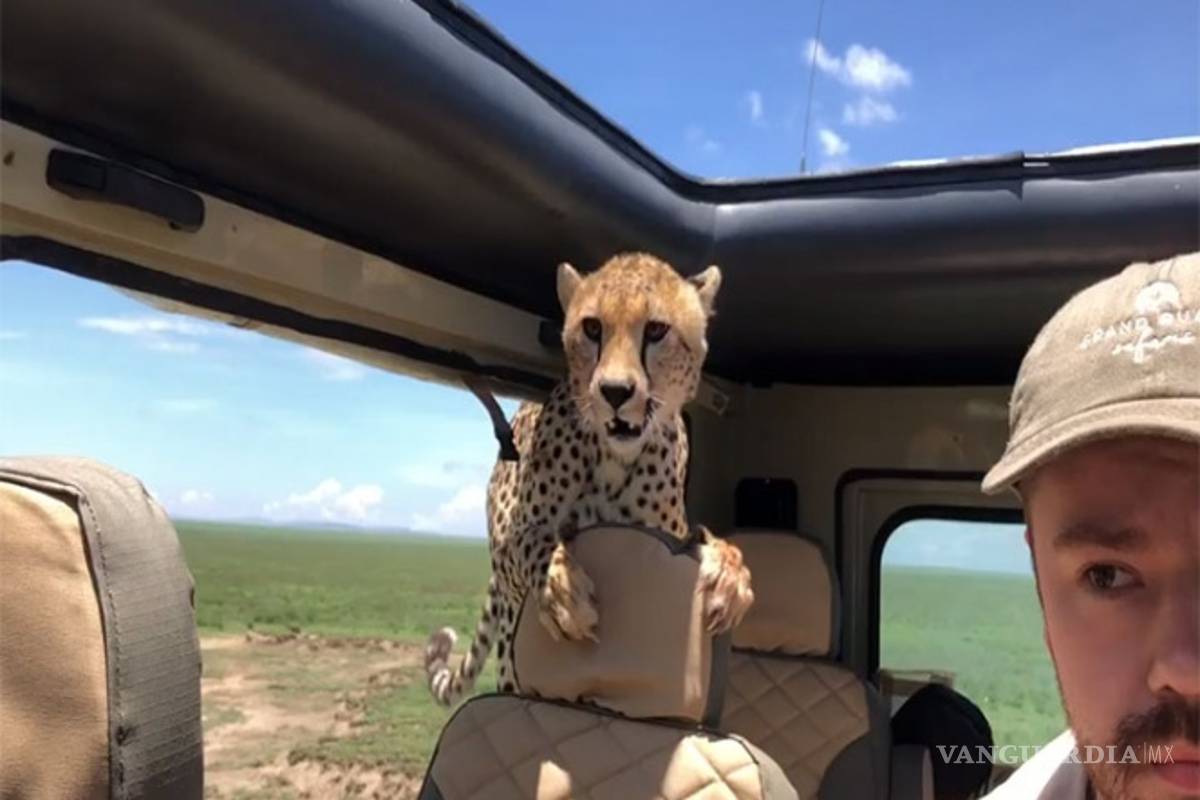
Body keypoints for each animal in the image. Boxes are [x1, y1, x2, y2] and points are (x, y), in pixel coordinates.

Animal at [424, 251, 754, 707]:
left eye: (656, 330)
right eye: (592, 328)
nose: (615, 391)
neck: (615, 456)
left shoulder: (665, 537)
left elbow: (709, 543)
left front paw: (730, 574)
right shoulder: (512, 549)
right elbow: (533, 540)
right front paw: (562, 590)